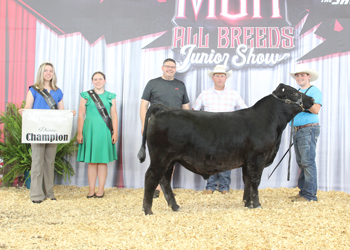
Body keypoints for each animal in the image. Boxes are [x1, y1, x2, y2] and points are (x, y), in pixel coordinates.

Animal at [137, 84, 314, 215]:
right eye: (294, 92)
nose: (312, 98)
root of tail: (163, 109)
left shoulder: (247, 161)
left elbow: (247, 181)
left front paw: (247, 203)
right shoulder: (258, 158)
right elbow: (255, 181)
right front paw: (257, 204)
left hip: (170, 160)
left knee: (165, 180)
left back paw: (175, 207)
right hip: (161, 157)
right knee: (151, 177)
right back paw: (148, 210)